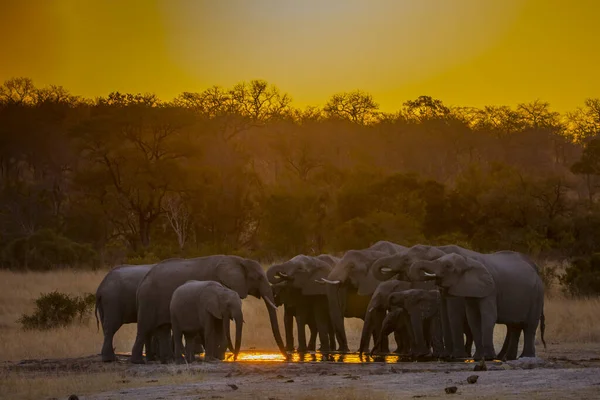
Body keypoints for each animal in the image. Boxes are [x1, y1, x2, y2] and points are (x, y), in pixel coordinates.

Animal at [132, 255, 288, 364]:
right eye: (259, 277)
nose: (287, 357)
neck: (238, 260)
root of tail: (142, 281)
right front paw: (219, 357)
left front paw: (219, 357)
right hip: (148, 300)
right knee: (144, 328)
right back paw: (138, 361)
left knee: (163, 329)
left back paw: (168, 360)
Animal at [410, 252, 548, 360]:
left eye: (448, 266)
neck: (469, 261)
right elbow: (473, 318)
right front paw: (478, 357)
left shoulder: (491, 289)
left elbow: (488, 316)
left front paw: (488, 357)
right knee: (515, 326)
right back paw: (509, 358)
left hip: (537, 295)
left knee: (529, 326)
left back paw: (526, 357)